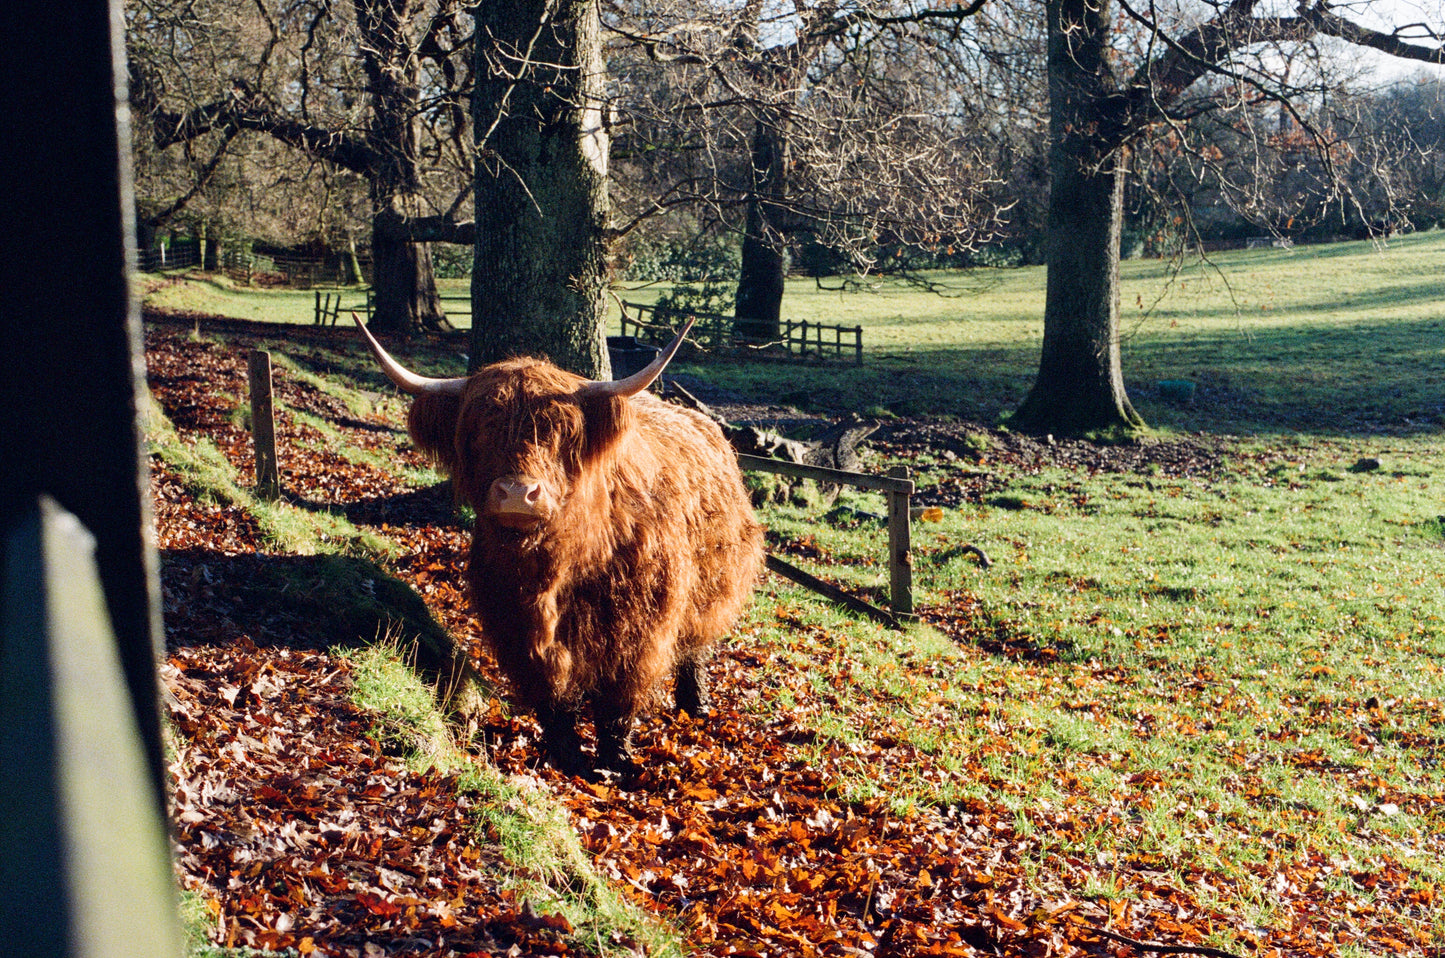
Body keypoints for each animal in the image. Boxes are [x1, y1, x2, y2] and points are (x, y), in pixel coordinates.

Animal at [354, 314, 764, 777]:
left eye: (561, 433)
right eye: (477, 432)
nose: (518, 493)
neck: (555, 569)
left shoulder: (639, 628)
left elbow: (618, 698)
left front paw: (615, 761)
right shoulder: (515, 624)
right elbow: (551, 693)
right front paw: (566, 756)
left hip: (711, 590)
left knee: (695, 649)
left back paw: (695, 705)